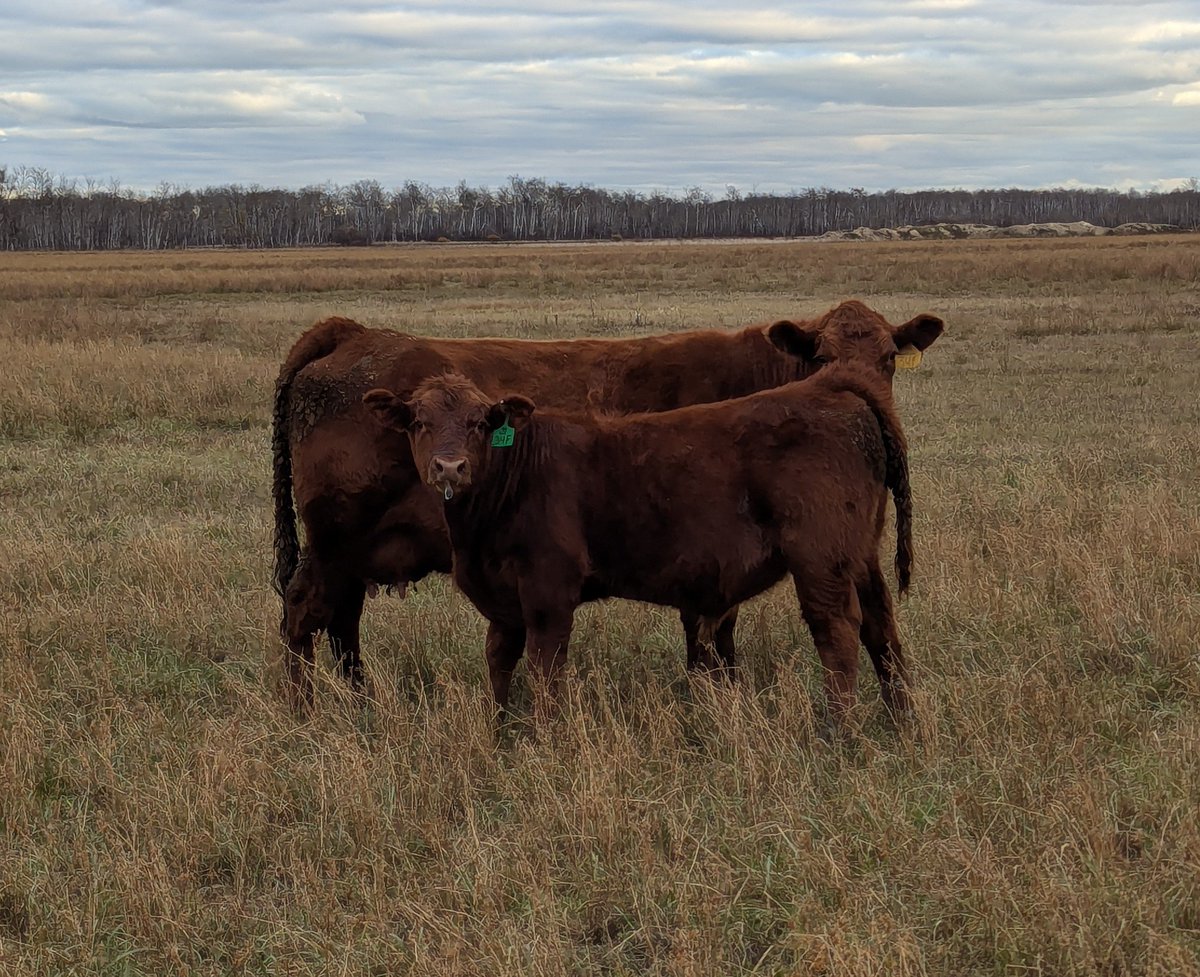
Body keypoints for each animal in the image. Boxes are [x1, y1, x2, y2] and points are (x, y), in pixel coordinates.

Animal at [273, 302, 943, 709]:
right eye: (821, 357)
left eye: (890, 358)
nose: (861, 392)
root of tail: (354, 333)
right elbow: (711, 634)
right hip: (334, 541)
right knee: (306, 612)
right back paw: (304, 712)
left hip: (354, 554)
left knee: (341, 620)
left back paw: (357, 701)